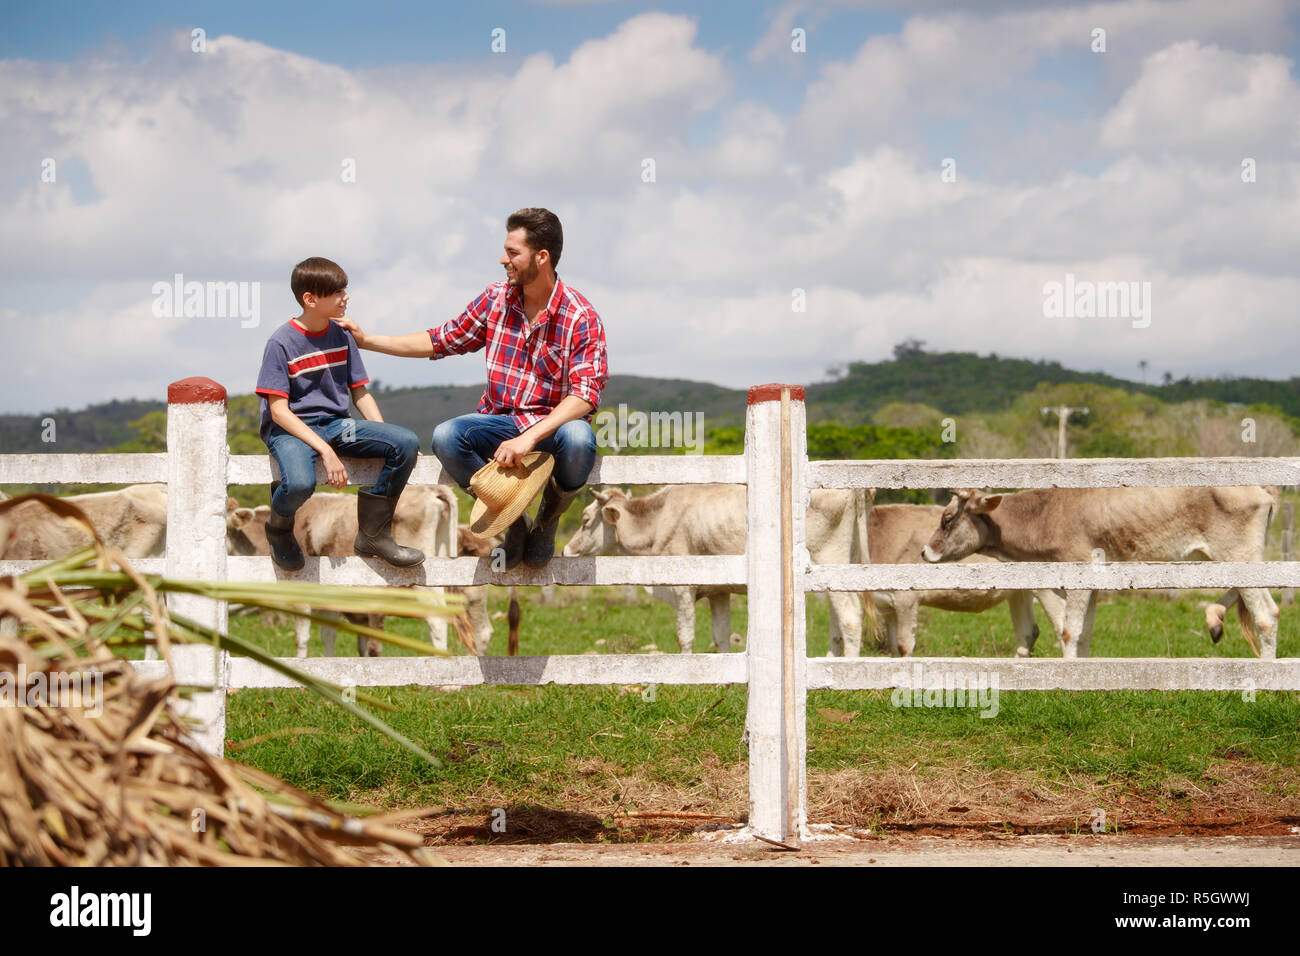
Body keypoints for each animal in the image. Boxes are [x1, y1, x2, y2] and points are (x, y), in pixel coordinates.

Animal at [564, 489, 868, 655]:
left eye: (585, 520)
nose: (566, 550)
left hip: (829, 558)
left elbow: (685, 635)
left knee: (851, 616)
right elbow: (721, 634)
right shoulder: (718, 591)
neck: (657, 521)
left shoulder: (682, 588)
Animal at [925, 486, 1279, 658]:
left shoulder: (1078, 572)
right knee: (1271, 610)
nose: (924, 551)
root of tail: (1262, 490)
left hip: (1239, 557)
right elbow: (1083, 634)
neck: (1045, 514)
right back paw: (1216, 620)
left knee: (1263, 616)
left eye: (947, 518)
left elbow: (1069, 631)